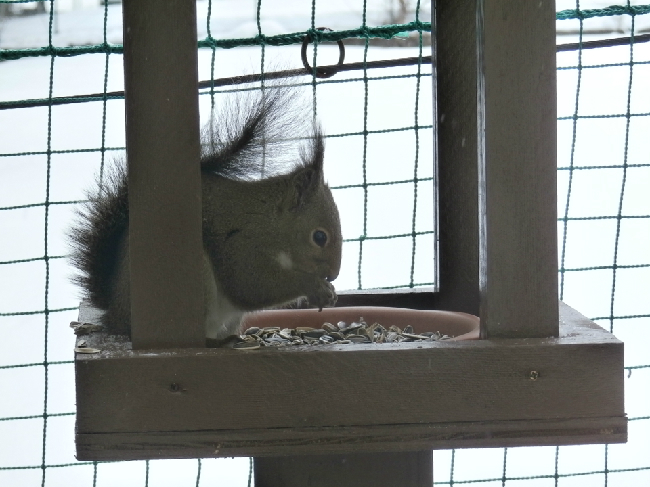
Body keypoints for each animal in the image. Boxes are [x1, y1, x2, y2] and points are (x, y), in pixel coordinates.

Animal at [69, 85, 344, 344]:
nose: (333, 274)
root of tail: (116, 317)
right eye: (320, 237)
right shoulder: (241, 244)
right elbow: (249, 286)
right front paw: (315, 287)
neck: (270, 223)